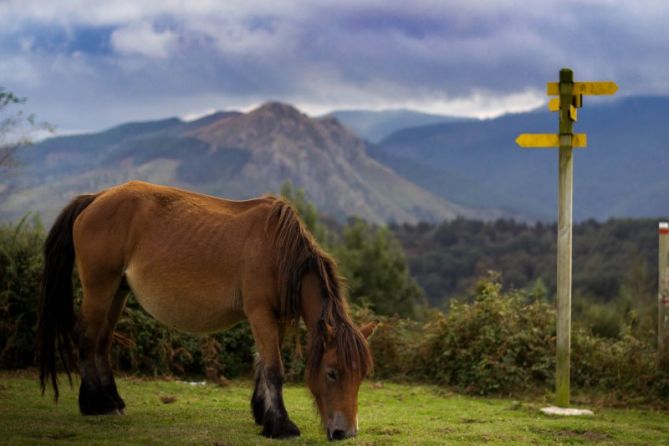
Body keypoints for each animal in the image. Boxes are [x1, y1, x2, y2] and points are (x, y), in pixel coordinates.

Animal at [37, 180, 376, 440]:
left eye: (361, 375)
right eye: (332, 373)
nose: (346, 433)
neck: (278, 253)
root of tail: (95, 198)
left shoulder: (275, 318)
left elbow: (261, 363)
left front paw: (262, 415)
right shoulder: (260, 314)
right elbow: (273, 369)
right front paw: (281, 426)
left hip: (117, 291)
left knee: (102, 343)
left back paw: (113, 400)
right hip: (100, 287)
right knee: (87, 339)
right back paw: (95, 404)